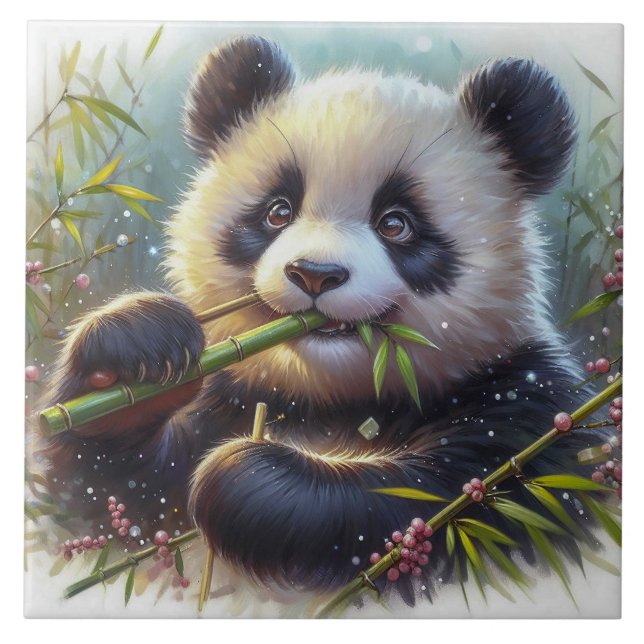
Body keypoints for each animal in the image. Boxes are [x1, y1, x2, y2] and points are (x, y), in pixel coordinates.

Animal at [42, 35, 599, 606]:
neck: (330, 398)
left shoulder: (522, 410)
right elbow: (109, 499)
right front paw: (133, 354)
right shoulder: (230, 398)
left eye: (396, 224)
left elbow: (446, 508)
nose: (315, 274)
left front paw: (246, 477)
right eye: (277, 211)